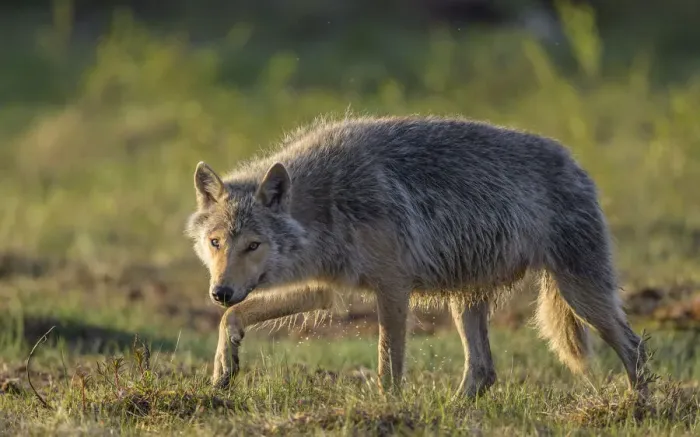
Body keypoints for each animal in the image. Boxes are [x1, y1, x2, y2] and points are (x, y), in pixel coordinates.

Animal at [185, 115, 650, 398]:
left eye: (253, 244)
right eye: (216, 243)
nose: (219, 291)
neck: (328, 200)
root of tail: (577, 165)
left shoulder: (392, 287)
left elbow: (387, 366)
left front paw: (386, 409)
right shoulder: (325, 290)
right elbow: (233, 319)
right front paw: (222, 370)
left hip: (581, 295)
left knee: (636, 350)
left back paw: (637, 411)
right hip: (467, 302)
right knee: (483, 371)